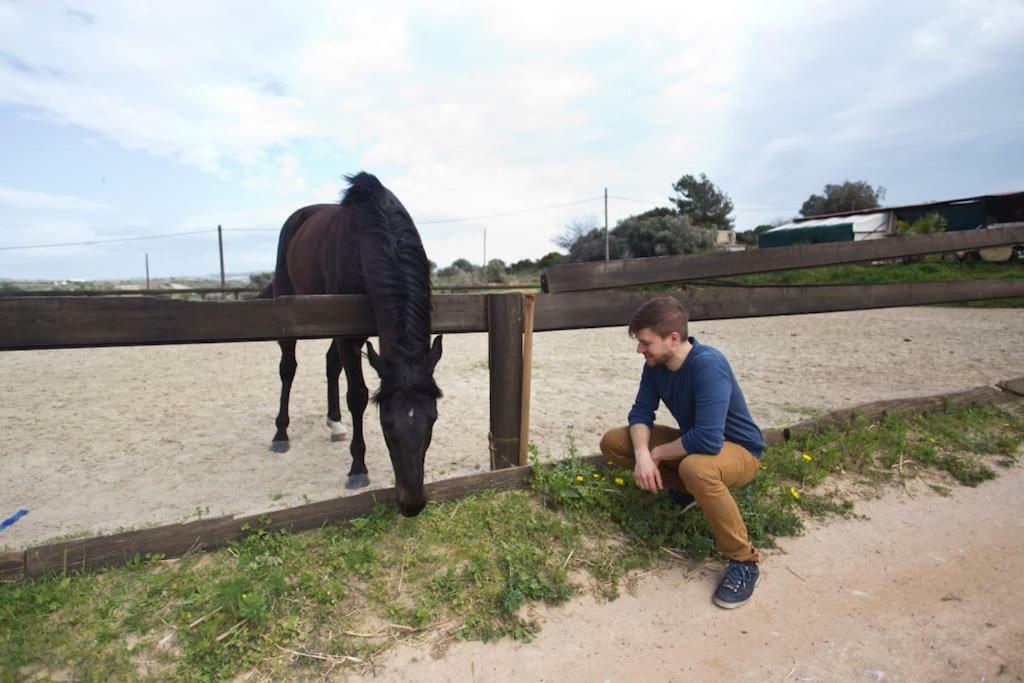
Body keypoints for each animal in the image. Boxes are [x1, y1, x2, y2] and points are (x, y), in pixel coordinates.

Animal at [260, 174, 440, 516]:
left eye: (432, 420)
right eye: (385, 425)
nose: (412, 504)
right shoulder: (347, 332)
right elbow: (357, 395)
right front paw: (358, 469)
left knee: (331, 364)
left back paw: (335, 423)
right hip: (289, 305)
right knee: (288, 368)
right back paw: (280, 434)